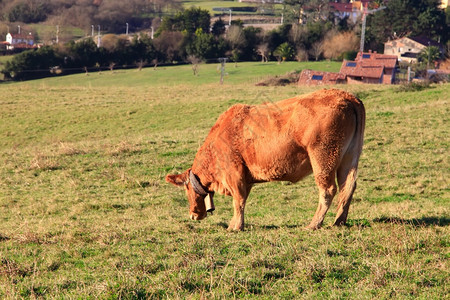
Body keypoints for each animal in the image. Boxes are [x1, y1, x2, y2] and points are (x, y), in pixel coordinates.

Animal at [165, 88, 366, 231]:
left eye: (186, 189)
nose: (193, 215)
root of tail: (348, 97)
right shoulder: (246, 178)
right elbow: (242, 199)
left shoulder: (234, 174)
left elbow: (238, 201)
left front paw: (235, 226)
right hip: (349, 157)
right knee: (347, 187)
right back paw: (339, 221)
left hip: (323, 158)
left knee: (328, 190)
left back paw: (314, 224)